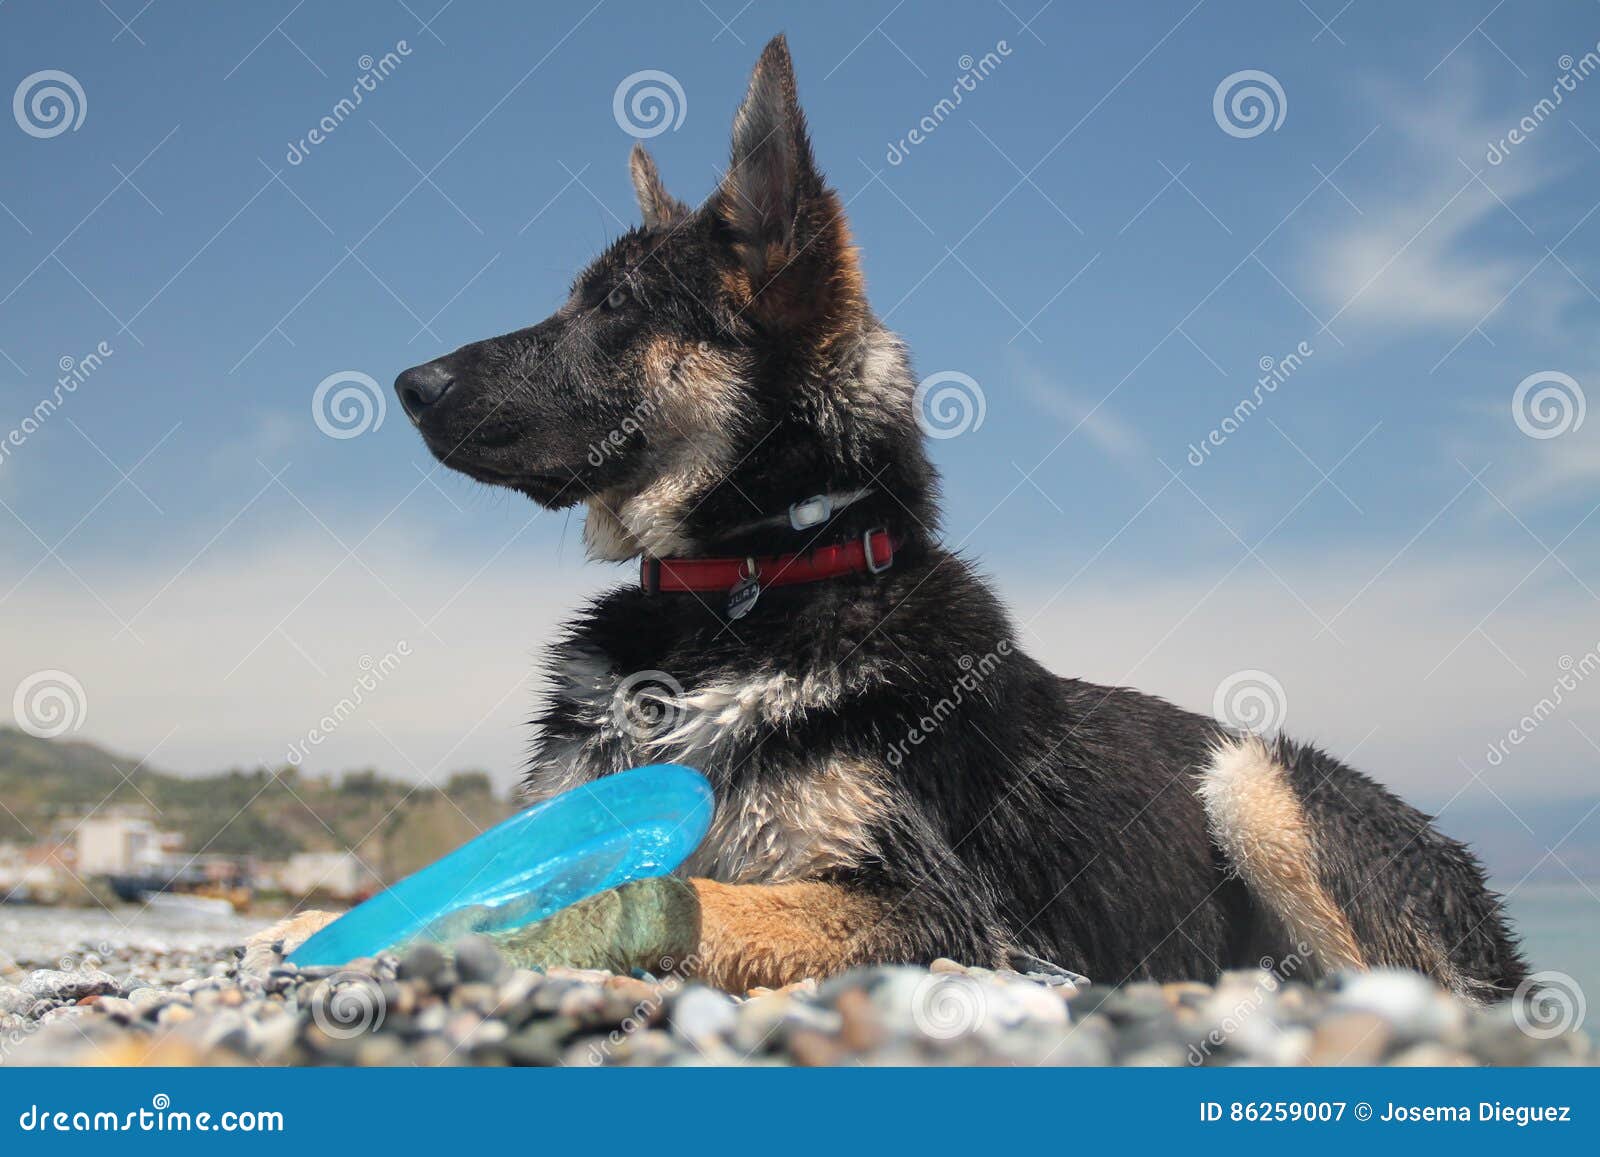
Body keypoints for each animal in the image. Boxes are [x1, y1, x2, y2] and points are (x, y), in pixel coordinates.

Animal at [291, 31, 1523, 998]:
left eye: (619, 309)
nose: (409, 384)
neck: (750, 583)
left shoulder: (928, 912)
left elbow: (670, 889)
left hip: (1253, 778)